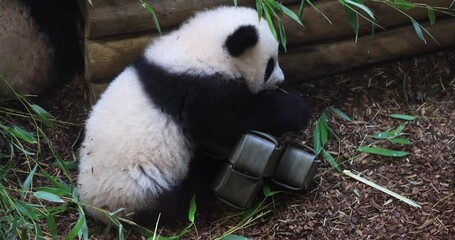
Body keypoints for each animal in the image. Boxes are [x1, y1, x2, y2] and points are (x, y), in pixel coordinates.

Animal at [78, 6, 310, 227]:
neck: (198, 49)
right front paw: (297, 108)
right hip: (140, 188)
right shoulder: (200, 93)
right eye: (270, 64)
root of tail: (94, 208)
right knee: (184, 190)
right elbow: (234, 119)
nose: (281, 81)